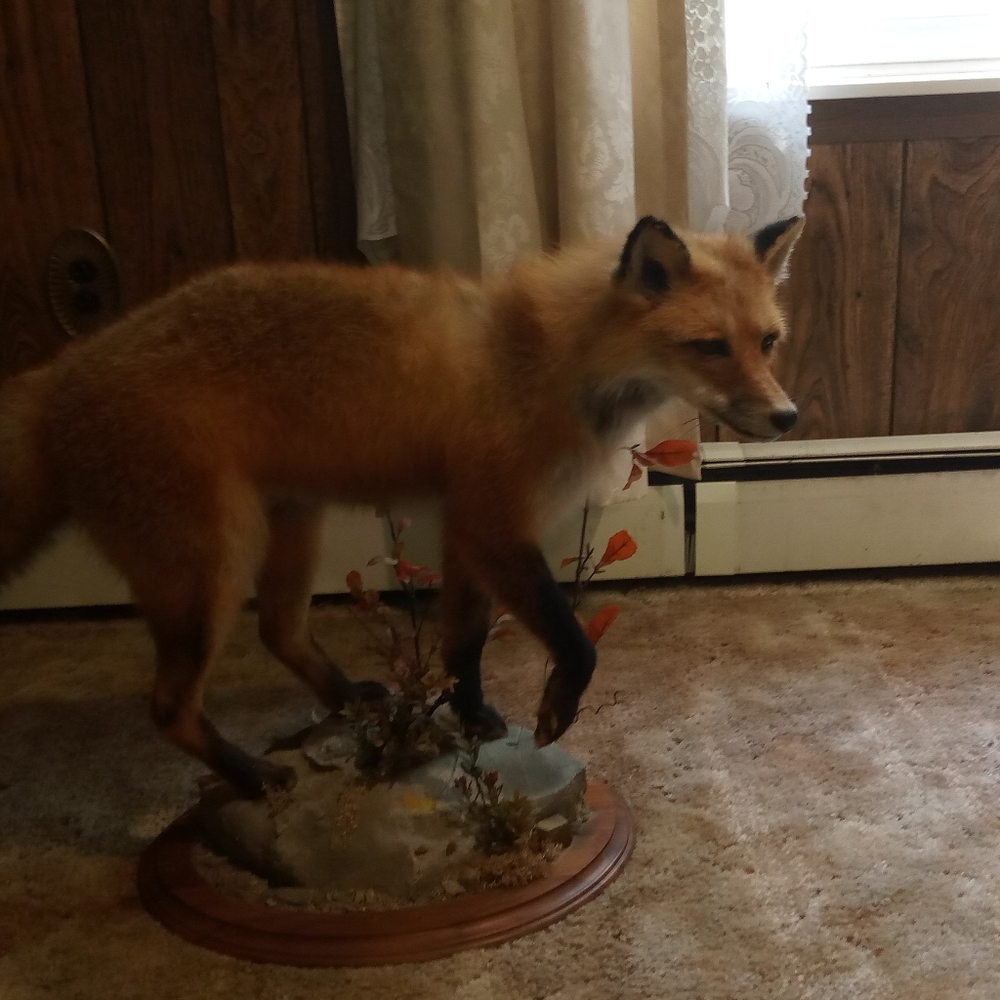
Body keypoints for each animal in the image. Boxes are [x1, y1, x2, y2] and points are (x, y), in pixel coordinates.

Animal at [0, 214, 803, 798]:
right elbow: (575, 641)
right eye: (709, 346)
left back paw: (355, 702)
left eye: (767, 341)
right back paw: (251, 776)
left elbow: (461, 645)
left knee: (278, 630)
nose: (787, 416)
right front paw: (554, 711)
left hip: (293, 524)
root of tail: (59, 373)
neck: (547, 359)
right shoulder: (494, 521)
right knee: (169, 706)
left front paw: (473, 720)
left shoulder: (466, 525)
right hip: (211, 565)